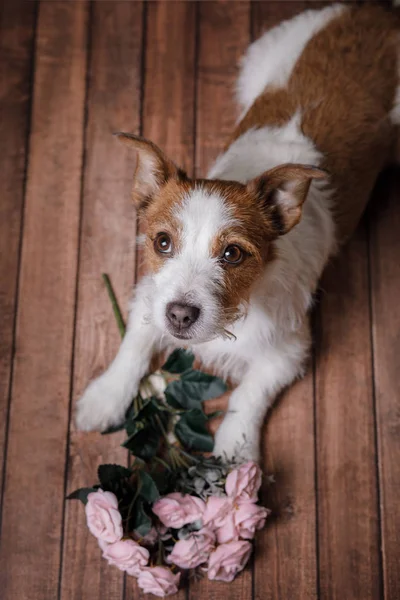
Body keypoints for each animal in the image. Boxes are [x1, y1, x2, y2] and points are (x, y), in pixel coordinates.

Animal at [77, 2, 400, 462]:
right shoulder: (152, 294)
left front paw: (235, 451)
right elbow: (134, 342)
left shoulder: (287, 350)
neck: (244, 304)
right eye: (162, 242)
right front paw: (106, 396)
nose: (180, 315)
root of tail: (374, 11)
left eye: (232, 254)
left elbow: (248, 394)